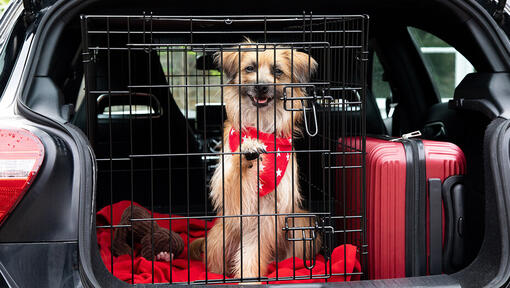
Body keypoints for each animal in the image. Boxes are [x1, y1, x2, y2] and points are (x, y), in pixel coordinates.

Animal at [189, 40, 320, 280]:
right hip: (219, 236)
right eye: (249, 68)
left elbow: (253, 248)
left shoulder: (270, 209)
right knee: (215, 263)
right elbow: (235, 175)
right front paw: (248, 148)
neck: (261, 125)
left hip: (300, 223)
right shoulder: (233, 194)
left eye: (277, 71)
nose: (261, 86)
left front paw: (249, 275)